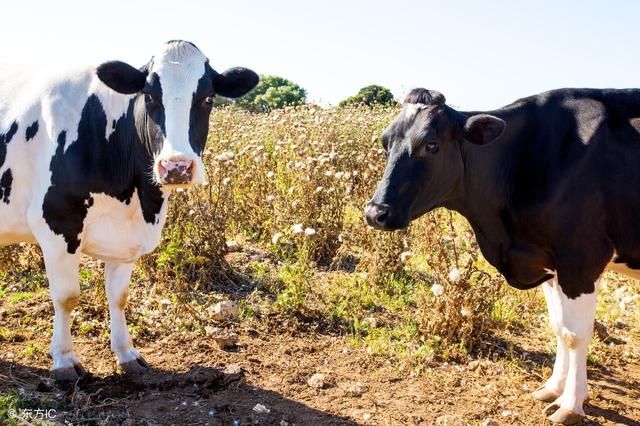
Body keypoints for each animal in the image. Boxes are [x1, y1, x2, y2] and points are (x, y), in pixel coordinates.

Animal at [1, 39, 260, 380]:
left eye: (208, 98)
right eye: (149, 96)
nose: (176, 167)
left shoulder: (126, 237)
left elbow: (119, 297)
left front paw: (126, 354)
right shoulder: (57, 223)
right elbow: (66, 297)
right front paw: (64, 360)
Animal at [364, 88, 640, 424]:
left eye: (430, 145)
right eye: (385, 142)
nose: (375, 213)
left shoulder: (582, 258)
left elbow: (575, 335)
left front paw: (571, 404)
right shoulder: (547, 261)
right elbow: (558, 327)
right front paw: (552, 388)